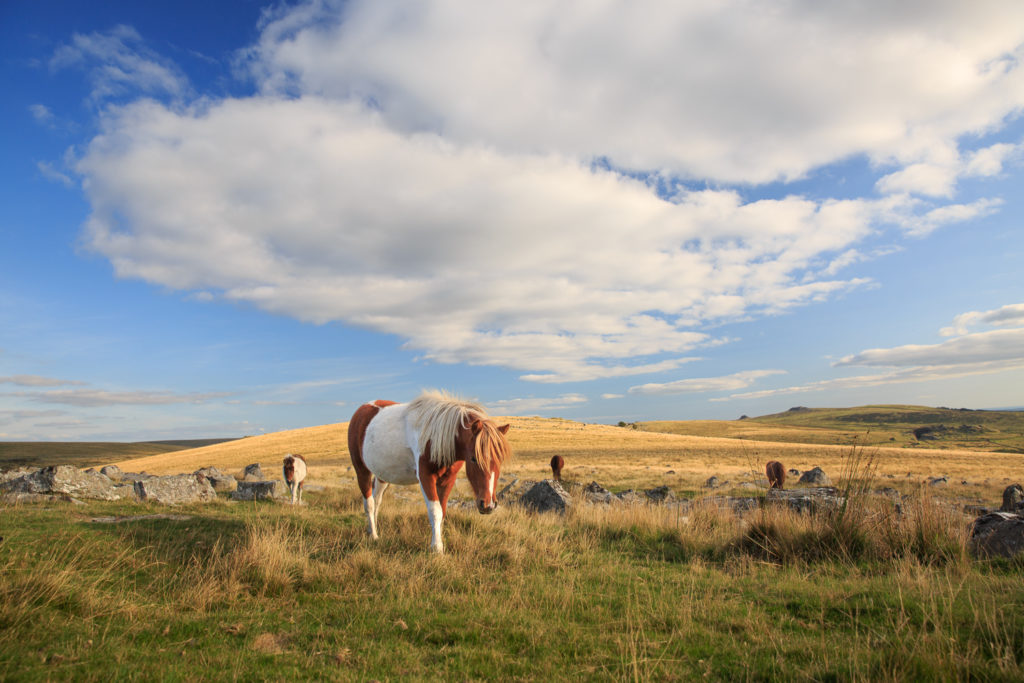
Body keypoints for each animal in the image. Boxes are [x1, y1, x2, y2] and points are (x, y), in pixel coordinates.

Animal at [348, 389, 512, 557]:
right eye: (473, 458)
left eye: (500, 459)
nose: (488, 505)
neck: (436, 436)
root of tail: (362, 410)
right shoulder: (426, 477)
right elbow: (435, 511)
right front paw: (437, 548)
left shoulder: (448, 479)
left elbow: (442, 512)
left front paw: (438, 541)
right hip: (362, 470)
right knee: (369, 503)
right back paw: (373, 536)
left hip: (382, 476)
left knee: (377, 500)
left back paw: (372, 530)